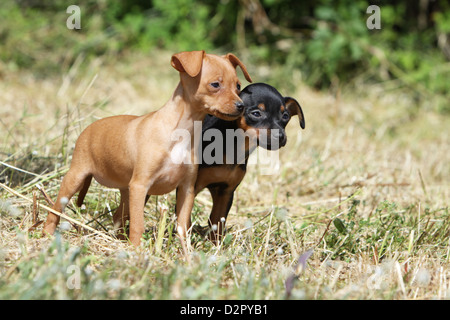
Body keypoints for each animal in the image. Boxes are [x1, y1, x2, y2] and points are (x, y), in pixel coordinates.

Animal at [42, 50, 251, 246]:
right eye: (215, 85)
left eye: (238, 86)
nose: (241, 106)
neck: (180, 131)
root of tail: (88, 128)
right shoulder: (140, 185)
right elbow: (138, 225)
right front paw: (137, 251)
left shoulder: (186, 189)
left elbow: (182, 226)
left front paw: (185, 253)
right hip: (76, 177)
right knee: (55, 209)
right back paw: (47, 233)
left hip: (126, 191)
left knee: (118, 216)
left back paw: (120, 240)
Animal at [193, 82, 306, 242]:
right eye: (256, 114)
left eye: (285, 116)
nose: (280, 136)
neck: (234, 146)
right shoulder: (192, 186)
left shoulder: (226, 192)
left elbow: (217, 222)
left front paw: (215, 245)